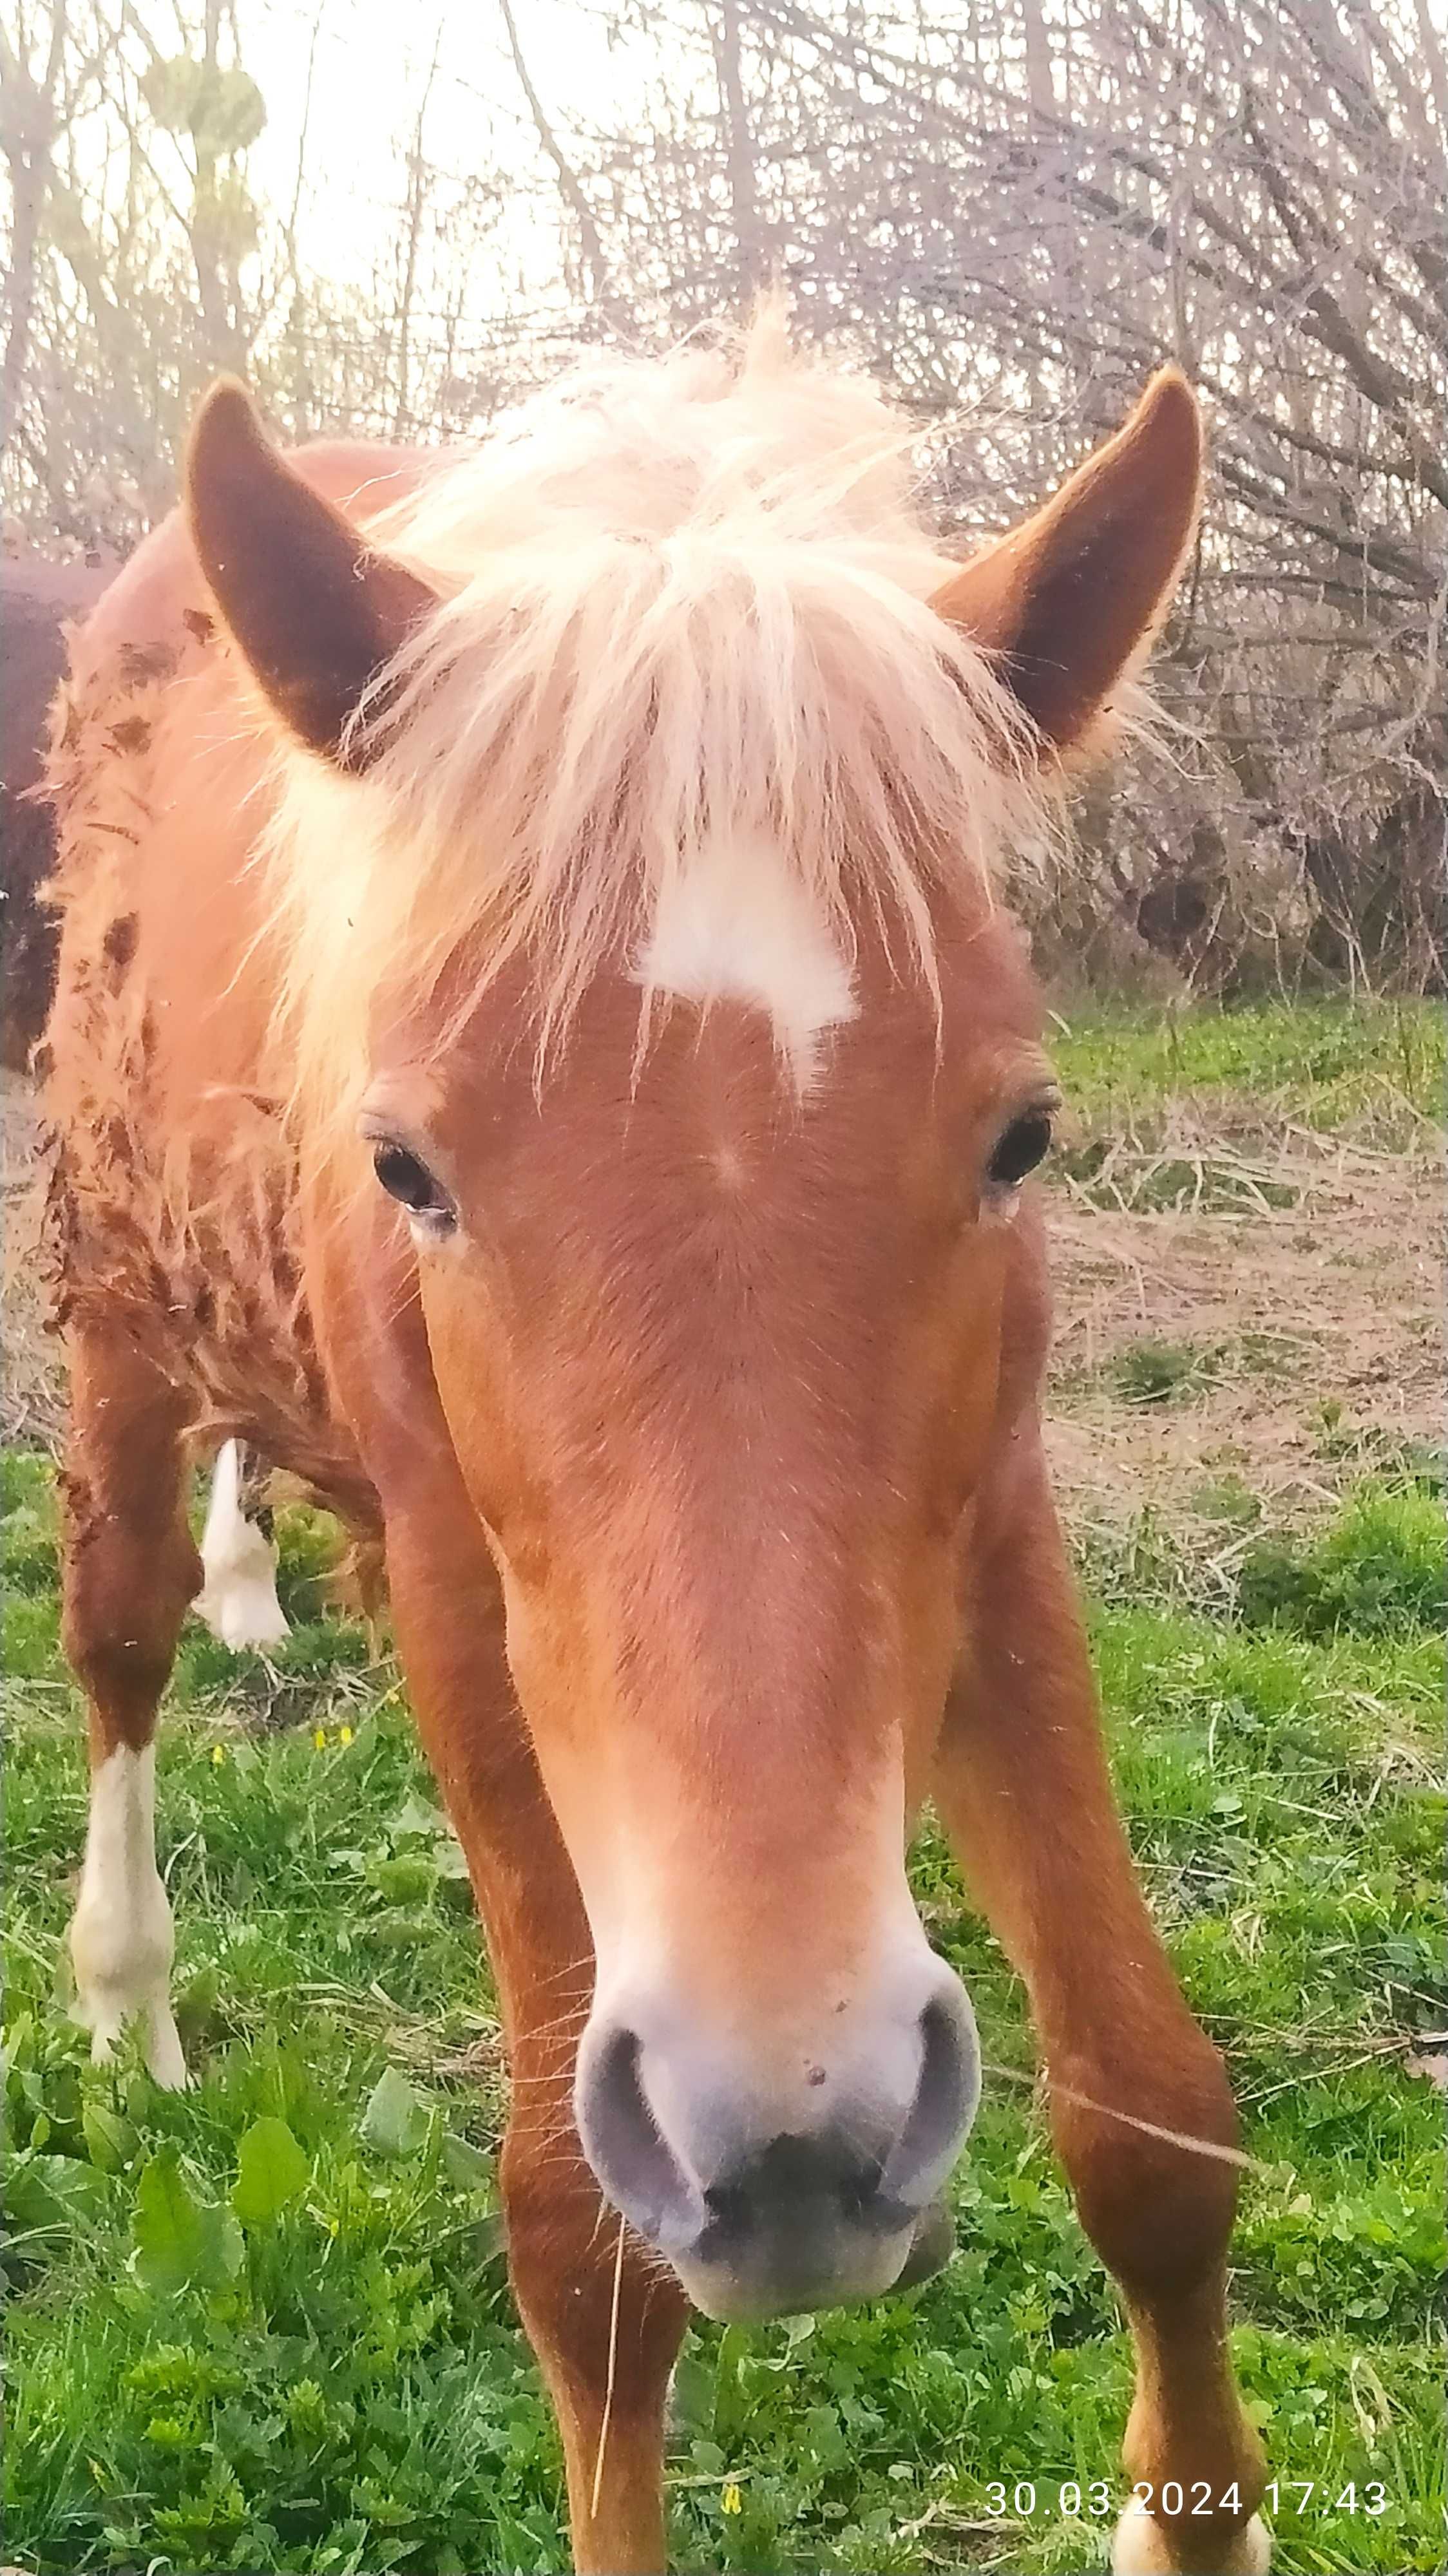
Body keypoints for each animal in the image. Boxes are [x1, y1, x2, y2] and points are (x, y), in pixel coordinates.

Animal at [42, 327, 1262, 2576]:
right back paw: (123, 1986)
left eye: (1021, 1134)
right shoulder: (468, 1605)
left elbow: (1150, 2120)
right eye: (408, 1168)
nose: (797, 2137)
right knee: (118, 1642)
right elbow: (580, 2248)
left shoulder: (989, 1533)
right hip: (119, 1319)